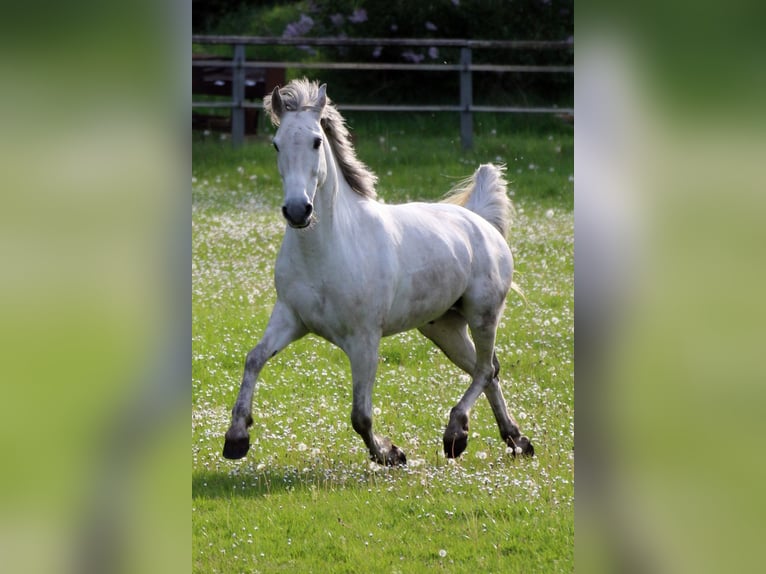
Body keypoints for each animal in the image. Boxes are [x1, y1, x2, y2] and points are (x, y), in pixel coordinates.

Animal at [224, 80, 536, 468]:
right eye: (276, 143)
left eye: (316, 141)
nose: (298, 210)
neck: (328, 252)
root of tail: (482, 223)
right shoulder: (291, 319)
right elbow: (253, 358)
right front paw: (236, 437)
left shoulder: (364, 340)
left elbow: (360, 415)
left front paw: (390, 453)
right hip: (444, 328)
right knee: (488, 370)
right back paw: (515, 439)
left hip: (483, 315)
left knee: (484, 369)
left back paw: (456, 434)